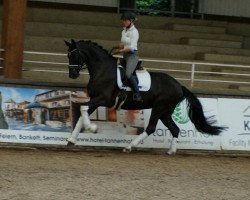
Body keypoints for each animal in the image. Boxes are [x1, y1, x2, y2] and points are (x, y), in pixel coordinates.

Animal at [64, 39, 225, 155]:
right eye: (68, 55)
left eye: (74, 54)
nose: (72, 75)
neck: (103, 70)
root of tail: (179, 86)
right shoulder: (95, 100)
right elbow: (83, 113)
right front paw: (71, 139)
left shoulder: (103, 99)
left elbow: (83, 109)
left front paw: (92, 128)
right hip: (165, 112)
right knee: (175, 129)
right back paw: (171, 151)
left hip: (159, 107)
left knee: (151, 128)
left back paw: (129, 146)